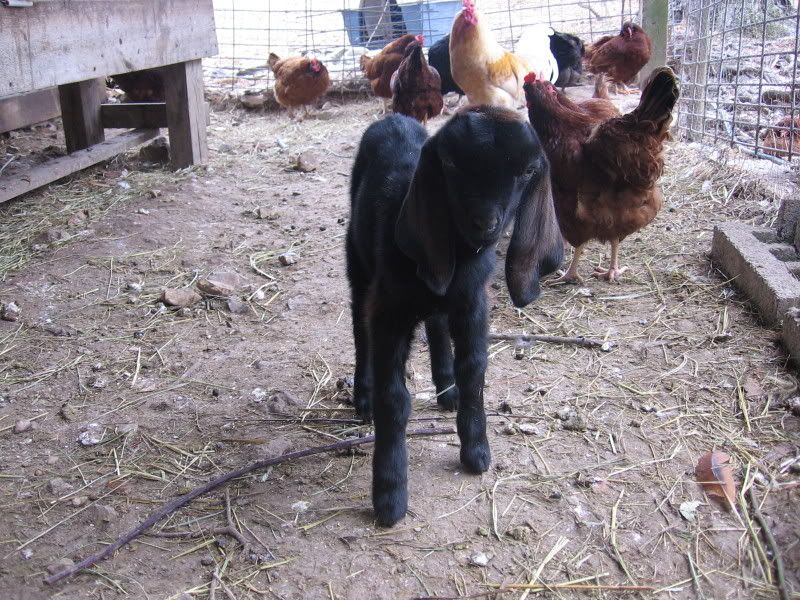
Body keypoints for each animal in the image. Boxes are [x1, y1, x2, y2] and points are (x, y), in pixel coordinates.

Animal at [346, 106, 563, 526]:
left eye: (529, 170)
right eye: (448, 163)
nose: (485, 224)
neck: (461, 257)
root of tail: (394, 117)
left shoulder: (472, 302)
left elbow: (474, 368)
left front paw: (476, 449)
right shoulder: (388, 311)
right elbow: (393, 397)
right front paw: (390, 494)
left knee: (435, 322)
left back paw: (446, 388)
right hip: (358, 265)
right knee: (359, 326)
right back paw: (362, 396)